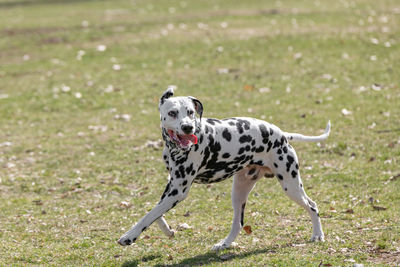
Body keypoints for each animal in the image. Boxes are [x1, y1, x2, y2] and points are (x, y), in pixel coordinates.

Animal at [119, 87, 332, 251]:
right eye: (172, 113)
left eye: (190, 112)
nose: (188, 127)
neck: (176, 148)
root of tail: (282, 134)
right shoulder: (172, 186)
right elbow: (155, 212)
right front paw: (167, 230)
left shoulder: (178, 191)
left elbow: (149, 215)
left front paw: (130, 236)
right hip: (239, 192)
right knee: (238, 223)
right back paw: (224, 244)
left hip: (291, 185)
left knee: (312, 205)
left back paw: (317, 235)